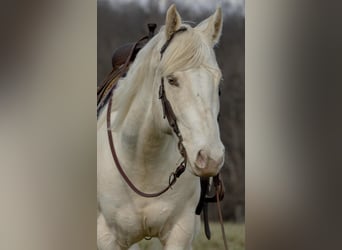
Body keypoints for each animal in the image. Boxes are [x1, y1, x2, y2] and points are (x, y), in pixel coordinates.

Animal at [97, 4, 224, 250]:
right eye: (172, 80)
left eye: (218, 83)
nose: (210, 158)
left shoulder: (180, 234)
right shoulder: (107, 237)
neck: (143, 160)